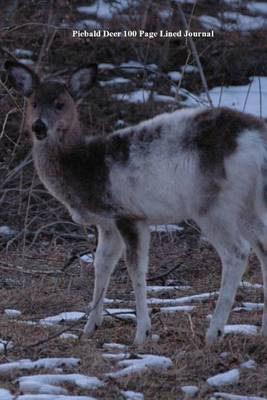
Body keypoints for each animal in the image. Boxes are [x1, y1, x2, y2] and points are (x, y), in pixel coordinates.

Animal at [4, 61, 267, 346]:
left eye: (60, 104)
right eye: (33, 102)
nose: (39, 127)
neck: (85, 167)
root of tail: (255, 140)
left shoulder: (129, 214)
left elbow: (136, 269)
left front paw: (142, 333)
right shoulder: (107, 223)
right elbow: (101, 264)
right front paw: (90, 327)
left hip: (214, 204)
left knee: (236, 252)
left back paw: (214, 332)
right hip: (246, 204)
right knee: (263, 246)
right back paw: (262, 329)